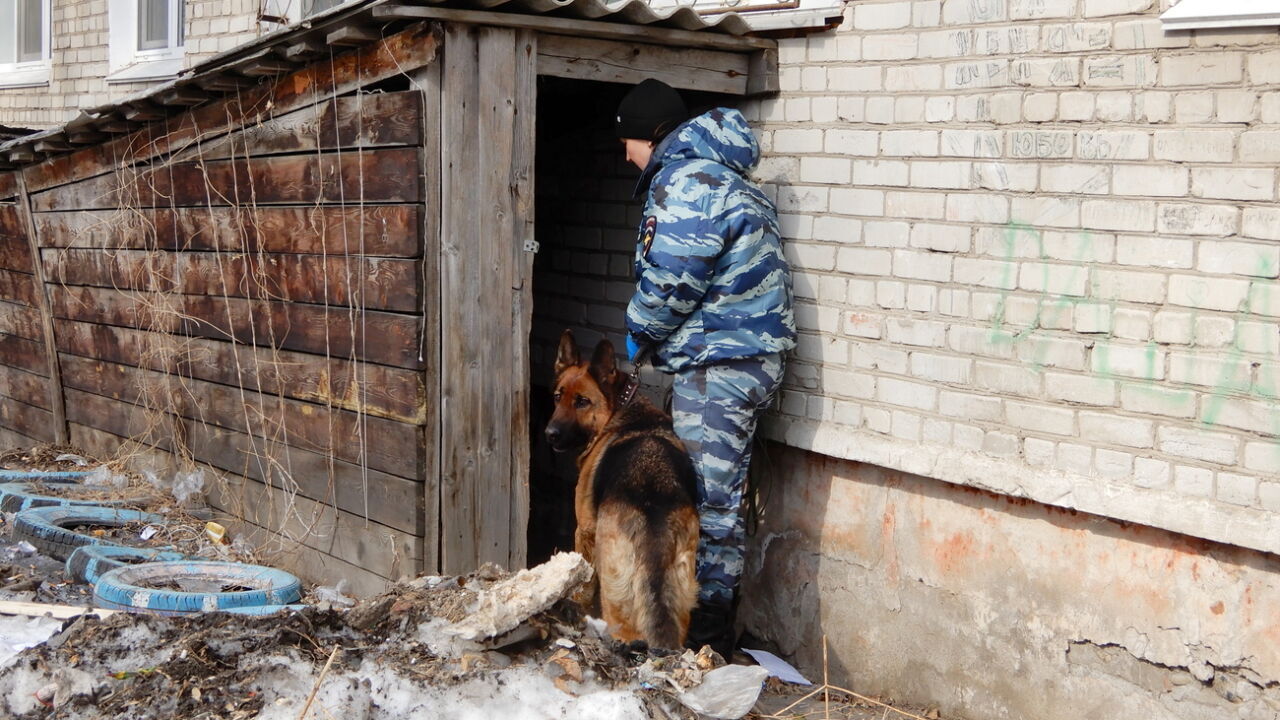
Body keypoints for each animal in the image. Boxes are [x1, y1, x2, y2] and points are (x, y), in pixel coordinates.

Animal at [542, 327, 701, 648]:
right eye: (557, 397)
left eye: (582, 402)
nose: (549, 434)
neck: (620, 407)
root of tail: (652, 506)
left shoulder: (584, 530)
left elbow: (583, 585)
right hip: (683, 591)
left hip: (615, 582)